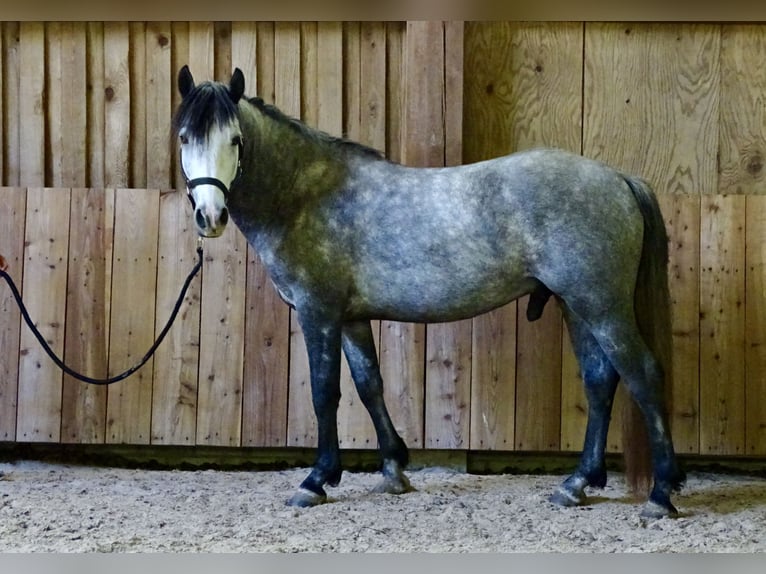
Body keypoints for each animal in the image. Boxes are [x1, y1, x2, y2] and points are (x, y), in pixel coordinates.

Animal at [172, 65, 686, 518]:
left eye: (235, 140)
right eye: (184, 139)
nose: (209, 216)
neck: (305, 195)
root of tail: (619, 179)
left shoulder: (318, 312)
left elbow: (325, 392)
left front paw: (317, 479)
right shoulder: (351, 317)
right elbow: (370, 385)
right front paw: (393, 469)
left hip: (603, 306)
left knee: (642, 375)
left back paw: (661, 493)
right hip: (576, 307)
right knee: (600, 382)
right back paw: (577, 484)